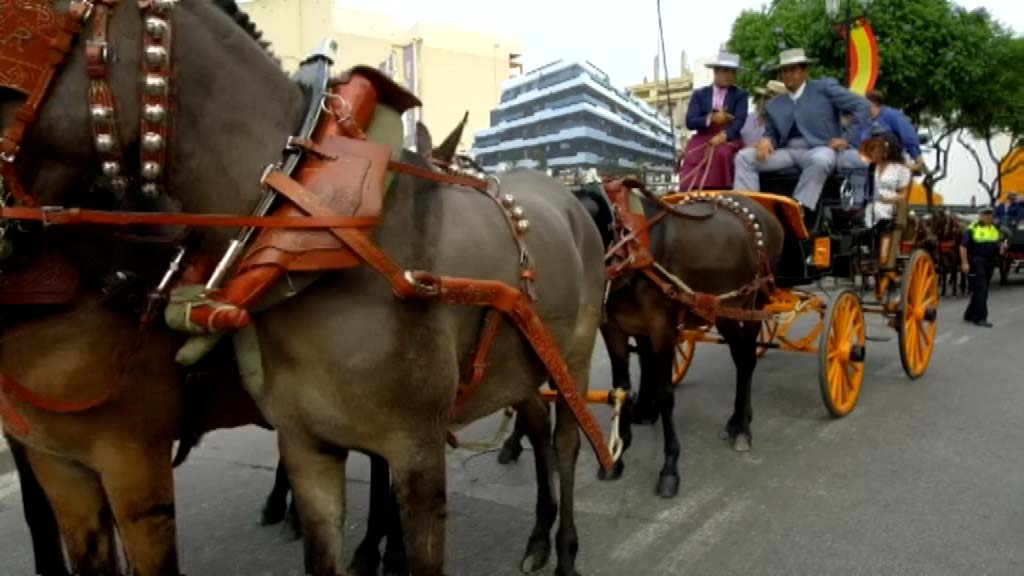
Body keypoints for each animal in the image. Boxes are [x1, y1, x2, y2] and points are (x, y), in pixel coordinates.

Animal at [0, 2, 602, 569]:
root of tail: (571, 197)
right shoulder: (305, 446)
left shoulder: (417, 451)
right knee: (538, 428)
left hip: (569, 358)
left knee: (567, 442)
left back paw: (564, 547)